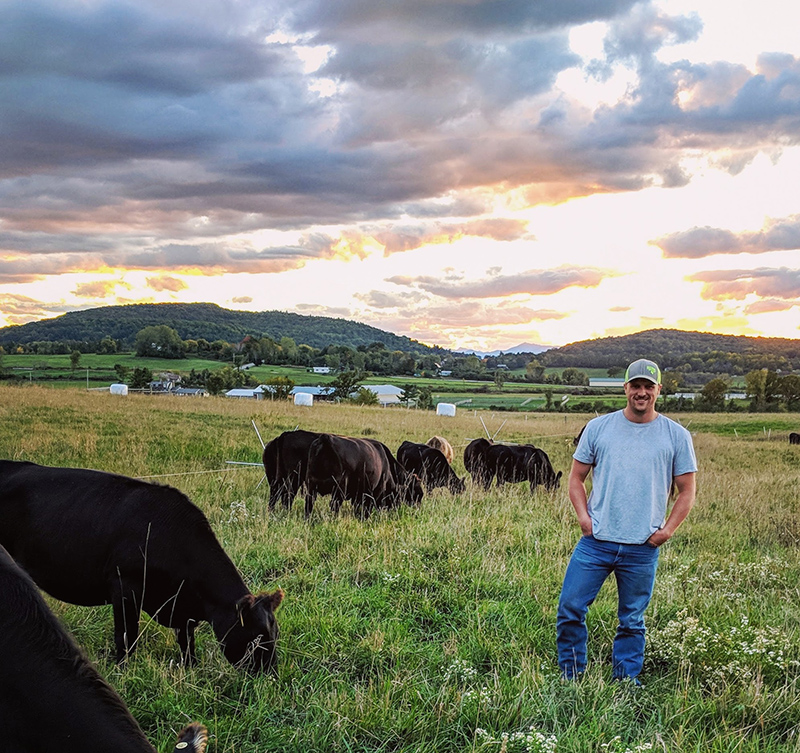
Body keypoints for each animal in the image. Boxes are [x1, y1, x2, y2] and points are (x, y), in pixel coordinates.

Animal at [0, 458, 284, 668]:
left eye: (276, 633)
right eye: (257, 638)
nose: (268, 676)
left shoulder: (182, 609)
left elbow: (187, 641)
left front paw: (190, 667)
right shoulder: (125, 587)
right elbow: (127, 637)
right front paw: (122, 669)